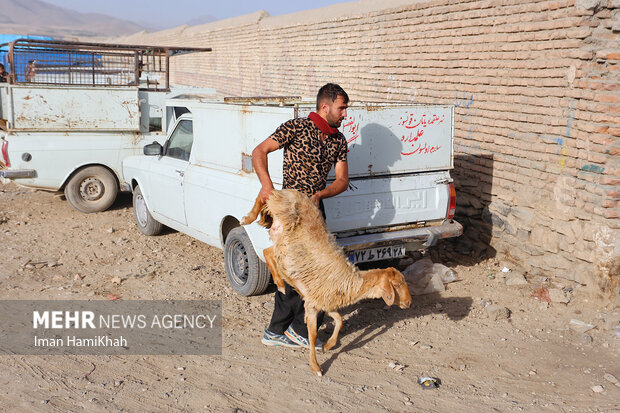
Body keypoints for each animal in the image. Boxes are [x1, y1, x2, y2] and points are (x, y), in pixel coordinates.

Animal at [241, 188, 412, 374]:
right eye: (397, 285)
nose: (409, 303)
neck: (350, 282)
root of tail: (291, 191)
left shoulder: (324, 303)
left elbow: (339, 320)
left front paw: (328, 346)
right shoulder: (312, 305)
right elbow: (313, 335)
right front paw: (315, 366)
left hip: (282, 242)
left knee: (267, 252)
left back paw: (280, 281)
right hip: (281, 216)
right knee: (265, 195)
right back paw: (248, 219)